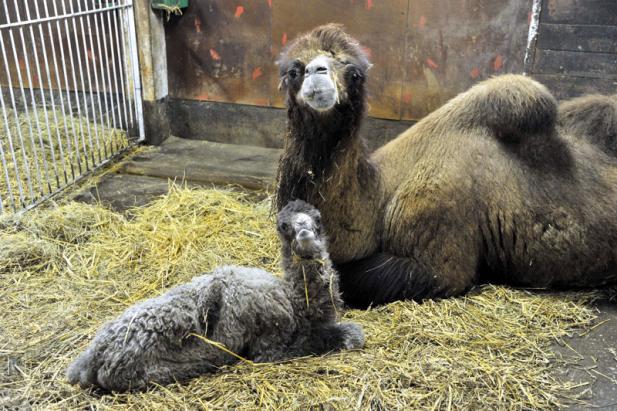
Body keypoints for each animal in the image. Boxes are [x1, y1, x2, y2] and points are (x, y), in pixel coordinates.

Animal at [65, 201, 364, 394]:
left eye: (318, 219)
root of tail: (91, 359)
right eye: (283, 226)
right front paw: (347, 335)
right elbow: (330, 338)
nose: (304, 233)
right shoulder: (269, 346)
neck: (294, 300)